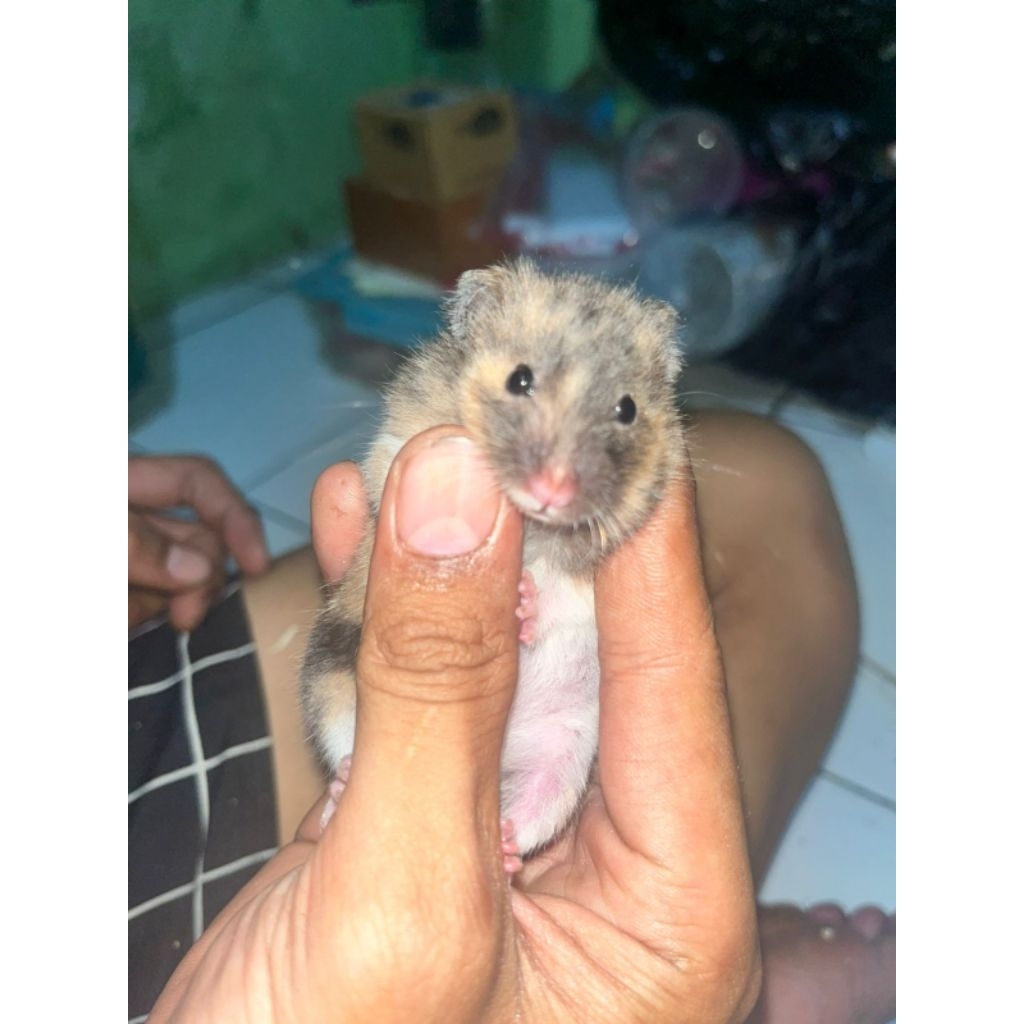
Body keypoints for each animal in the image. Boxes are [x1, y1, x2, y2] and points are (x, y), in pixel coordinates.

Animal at [301, 258, 686, 862]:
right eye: (519, 380)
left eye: (627, 409)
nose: (552, 490)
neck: (535, 527)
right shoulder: (395, 447)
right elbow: (389, 467)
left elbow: (566, 590)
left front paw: (526, 599)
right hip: (331, 681)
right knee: (344, 747)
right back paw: (341, 789)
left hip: (566, 756)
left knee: (531, 814)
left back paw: (504, 847)